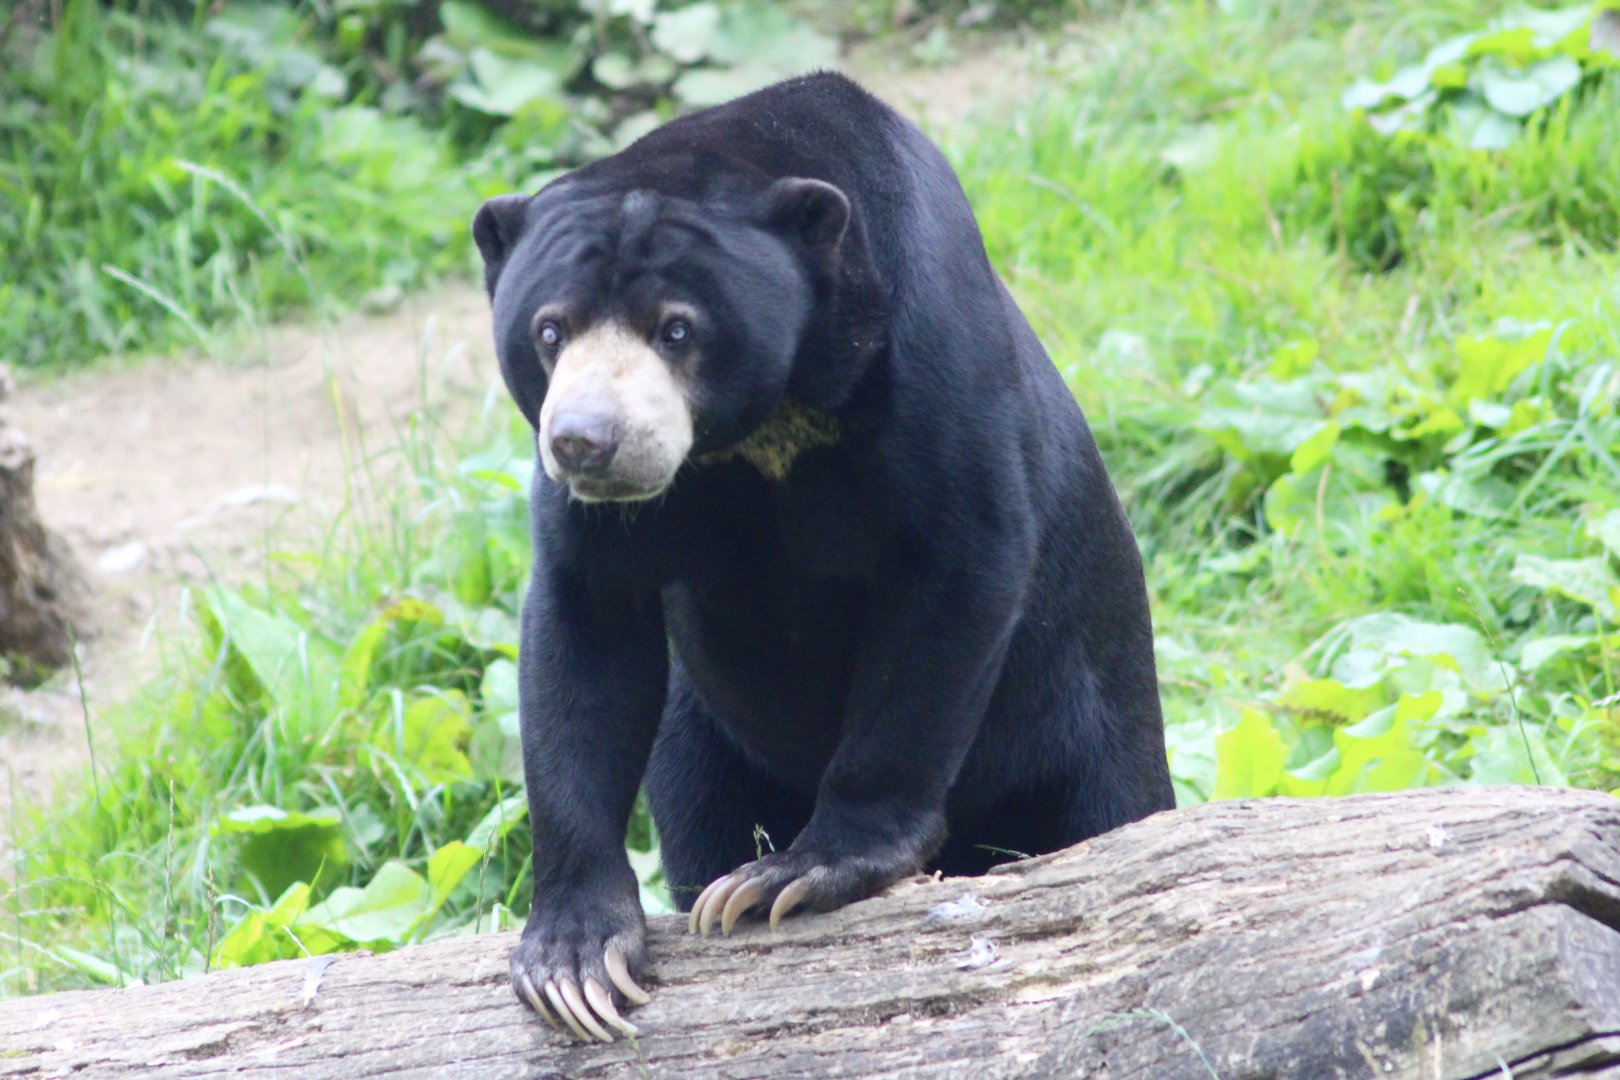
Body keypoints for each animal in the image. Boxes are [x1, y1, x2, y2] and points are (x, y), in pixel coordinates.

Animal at [472, 71, 1174, 1042]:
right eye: (549, 331)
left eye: (677, 330)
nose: (586, 442)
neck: (762, 428)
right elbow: (586, 627)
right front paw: (575, 961)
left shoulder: (927, 359)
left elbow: (954, 572)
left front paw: (796, 875)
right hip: (705, 737)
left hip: (1089, 712)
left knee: (1110, 801)